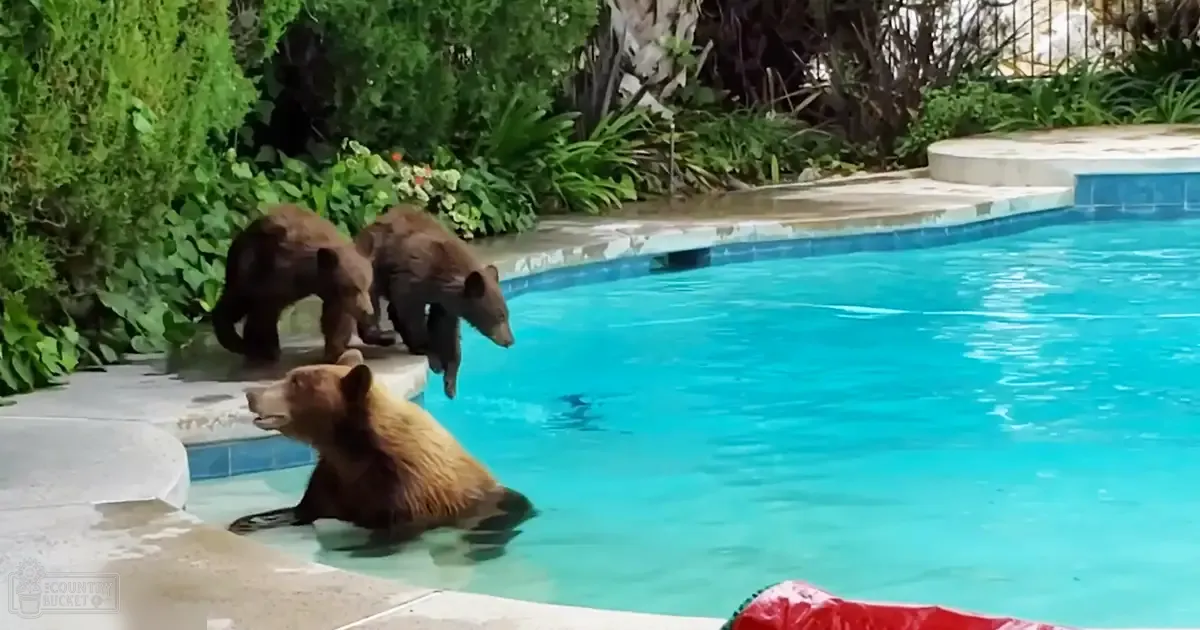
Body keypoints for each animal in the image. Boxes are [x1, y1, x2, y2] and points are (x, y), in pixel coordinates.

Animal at [211, 204, 393, 365]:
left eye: (367, 286)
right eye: (351, 288)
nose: (367, 311)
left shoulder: (331, 293)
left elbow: (335, 318)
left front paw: (336, 350)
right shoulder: (280, 275)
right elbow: (263, 309)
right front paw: (264, 348)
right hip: (249, 263)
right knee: (238, 300)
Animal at [228, 349, 537, 562]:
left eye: (297, 382)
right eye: (292, 375)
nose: (251, 394)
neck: (351, 448)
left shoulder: (406, 489)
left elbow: (391, 531)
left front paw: (358, 547)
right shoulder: (333, 477)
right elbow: (301, 509)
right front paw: (247, 522)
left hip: (498, 504)